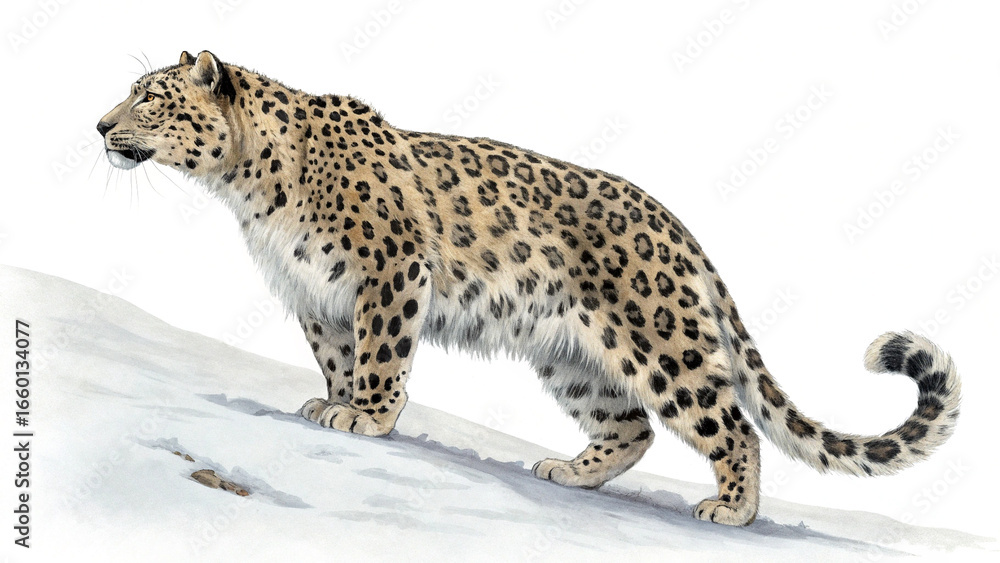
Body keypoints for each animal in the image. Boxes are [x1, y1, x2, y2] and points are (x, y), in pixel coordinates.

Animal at [98, 50, 961, 526]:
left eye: (151, 98)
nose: (102, 126)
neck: (248, 186)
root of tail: (678, 228)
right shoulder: (316, 294)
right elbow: (340, 356)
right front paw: (330, 404)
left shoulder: (389, 267)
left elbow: (381, 355)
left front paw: (366, 417)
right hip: (574, 360)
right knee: (632, 428)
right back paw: (569, 471)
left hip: (662, 343)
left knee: (730, 424)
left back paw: (734, 509)